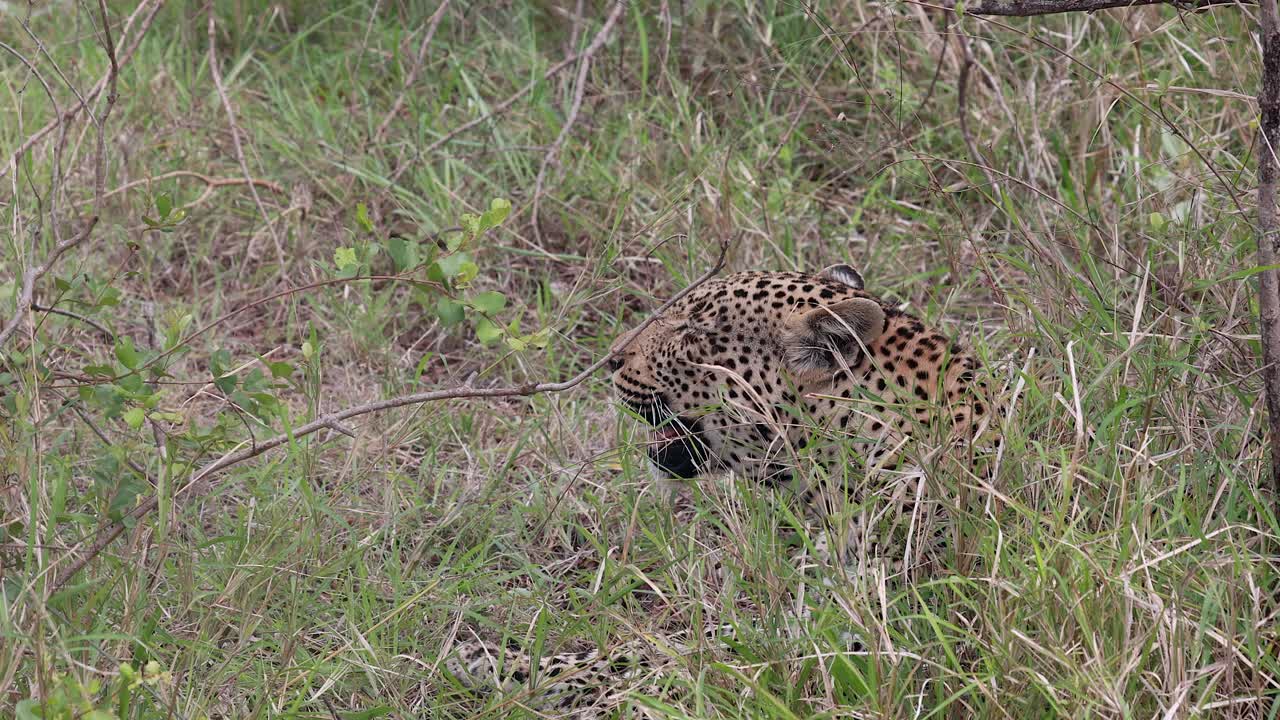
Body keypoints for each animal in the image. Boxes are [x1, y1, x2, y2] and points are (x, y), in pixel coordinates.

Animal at [446, 264, 995, 717]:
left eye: (694, 332)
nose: (610, 359)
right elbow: (683, 643)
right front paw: (495, 656)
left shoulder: (849, 634)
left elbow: (673, 654)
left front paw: (507, 667)